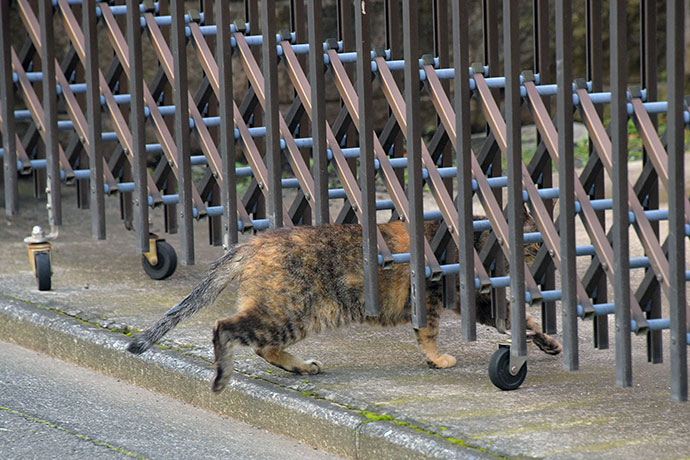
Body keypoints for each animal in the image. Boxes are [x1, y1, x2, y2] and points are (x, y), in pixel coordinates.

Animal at [127, 217, 560, 392]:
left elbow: (523, 321)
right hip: (289, 310)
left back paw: (302, 367)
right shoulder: (432, 295)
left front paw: (548, 343)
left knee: (264, 346)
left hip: (293, 314)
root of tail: (255, 242)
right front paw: (437, 359)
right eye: (532, 237)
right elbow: (429, 331)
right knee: (224, 328)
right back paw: (221, 379)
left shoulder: (482, 303)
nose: (546, 255)